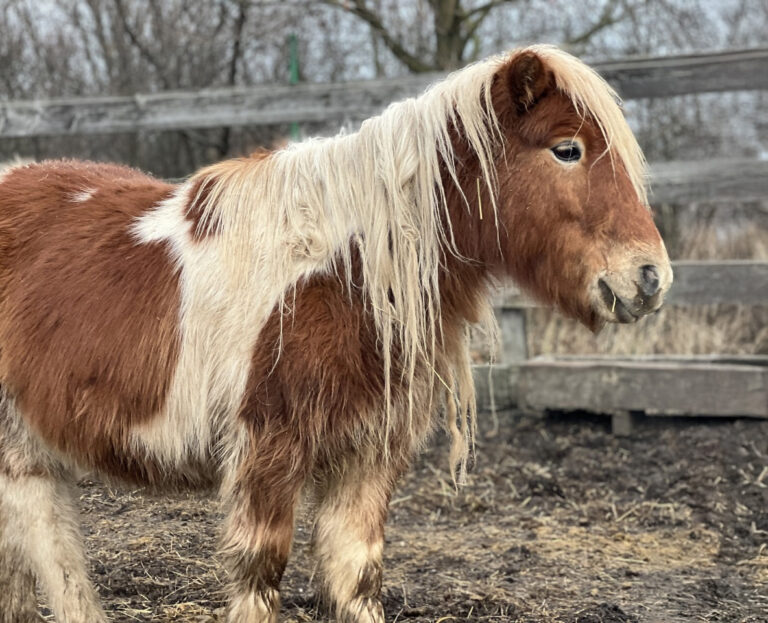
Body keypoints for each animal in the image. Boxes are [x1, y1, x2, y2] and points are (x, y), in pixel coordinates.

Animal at [0, 45, 672, 623]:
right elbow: (261, 575)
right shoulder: (267, 454)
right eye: (567, 150)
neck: (341, 274)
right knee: (53, 555)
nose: (651, 278)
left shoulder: (367, 456)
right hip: (22, 453)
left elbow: (356, 577)